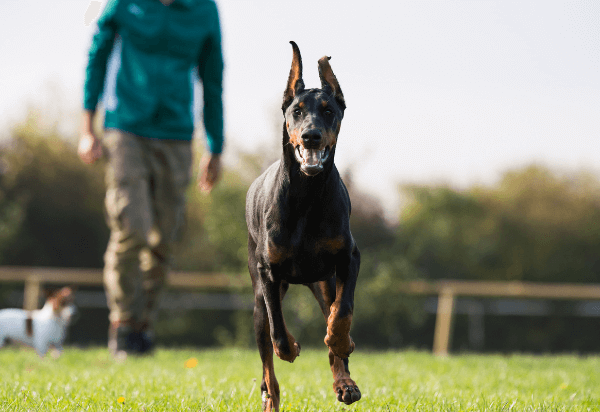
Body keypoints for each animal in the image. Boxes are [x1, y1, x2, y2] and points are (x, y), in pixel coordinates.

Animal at [245, 42, 360, 412]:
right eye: (296, 111)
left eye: (328, 110)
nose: (311, 136)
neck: (307, 194)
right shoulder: (268, 271)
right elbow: (278, 333)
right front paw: (292, 346)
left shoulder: (348, 258)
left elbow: (342, 312)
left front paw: (342, 342)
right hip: (258, 298)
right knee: (267, 352)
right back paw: (271, 398)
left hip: (323, 282)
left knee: (333, 314)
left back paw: (345, 382)